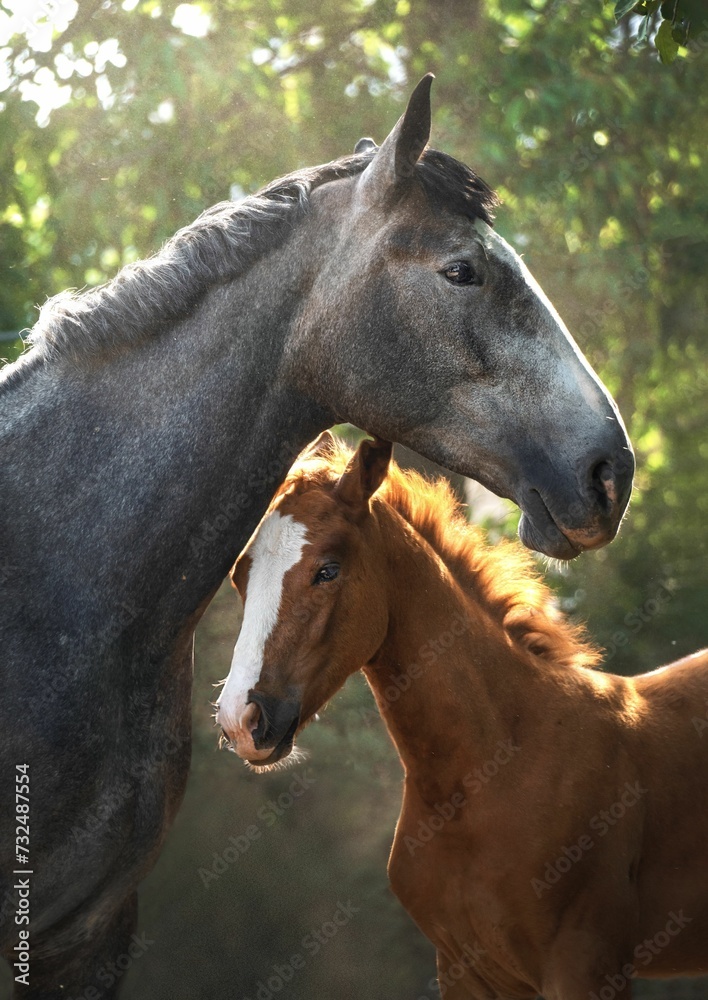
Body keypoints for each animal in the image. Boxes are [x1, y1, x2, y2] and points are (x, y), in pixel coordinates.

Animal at [218, 432, 708, 1000]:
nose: (240, 720)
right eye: (239, 576)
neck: (488, 773)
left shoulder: (586, 966)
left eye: (328, 569)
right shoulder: (464, 970)